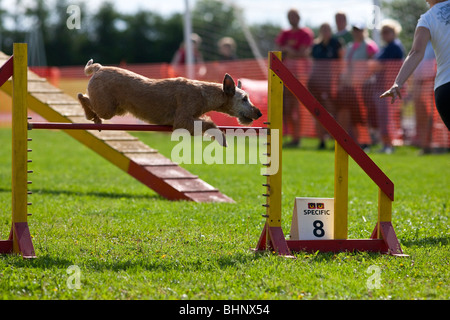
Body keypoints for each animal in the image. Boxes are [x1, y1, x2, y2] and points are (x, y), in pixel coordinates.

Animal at [77, 59, 260, 146]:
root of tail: (100, 68)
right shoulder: (182, 120)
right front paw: (222, 139)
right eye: (244, 98)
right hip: (107, 108)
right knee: (82, 96)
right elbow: (209, 123)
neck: (204, 93)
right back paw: (91, 115)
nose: (259, 112)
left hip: (117, 109)